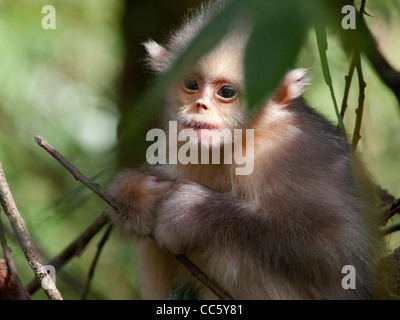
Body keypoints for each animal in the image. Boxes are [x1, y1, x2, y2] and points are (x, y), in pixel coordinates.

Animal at [107, 1, 394, 298]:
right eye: (191, 84)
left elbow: (334, 249)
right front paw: (135, 194)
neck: (243, 137)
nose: (200, 105)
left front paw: (190, 212)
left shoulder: (286, 153)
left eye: (226, 92)